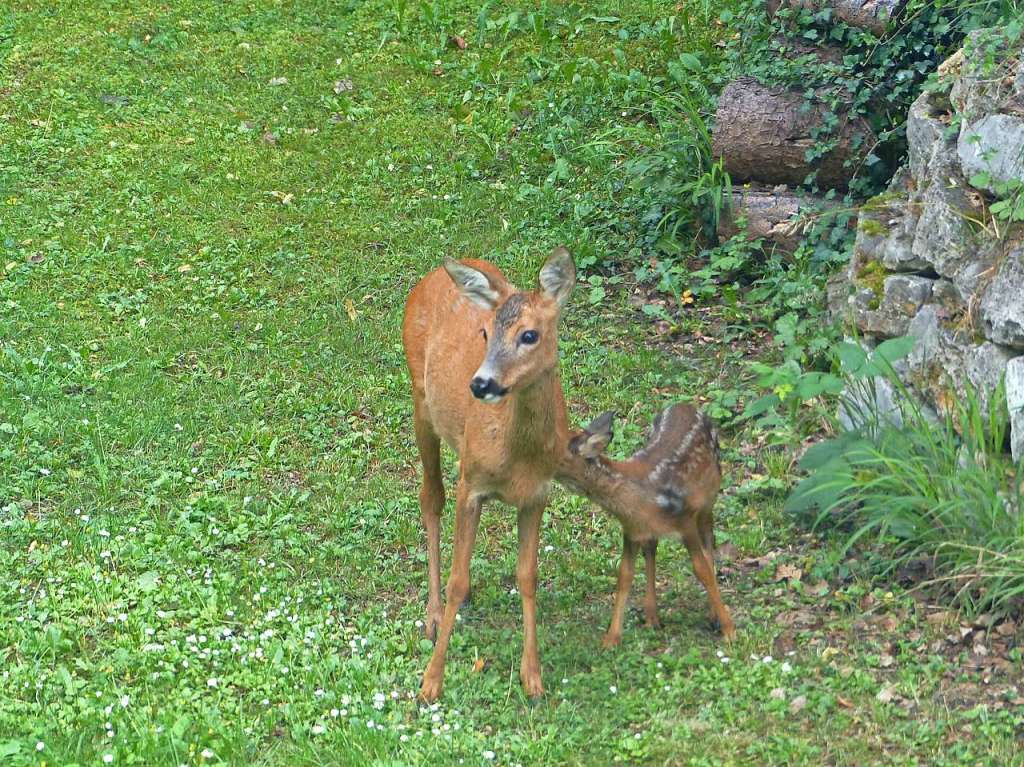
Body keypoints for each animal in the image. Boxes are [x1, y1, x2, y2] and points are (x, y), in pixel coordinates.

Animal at [401, 245, 577, 700]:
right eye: (484, 334)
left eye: (529, 335)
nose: (480, 384)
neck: (517, 457)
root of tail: (432, 276)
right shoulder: (472, 484)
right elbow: (458, 579)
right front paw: (431, 680)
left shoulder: (538, 495)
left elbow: (528, 576)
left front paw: (533, 677)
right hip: (420, 398)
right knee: (431, 498)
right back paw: (432, 615)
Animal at [561, 407, 737, 647]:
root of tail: (687, 405)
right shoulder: (631, 531)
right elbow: (624, 576)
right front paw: (611, 639)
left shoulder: (685, 520)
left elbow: (701, 570)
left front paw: (729, 630)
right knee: (652, 551)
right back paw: (652, 617)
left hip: (709, 495)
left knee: (709, 540)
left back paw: (712, 615)